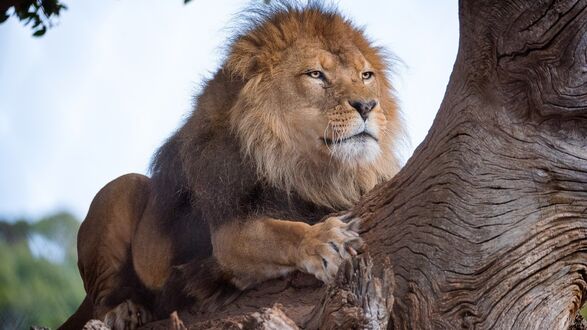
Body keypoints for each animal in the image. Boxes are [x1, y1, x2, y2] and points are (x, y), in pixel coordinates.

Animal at [59, 3, 402, 330]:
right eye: (316, 74)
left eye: (366, 76)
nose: (367, 105)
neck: (307, 169)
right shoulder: (227, 231)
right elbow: (282, 233)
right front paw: (323, 240)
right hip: (121, 188)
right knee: (100, 301)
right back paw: (123, 311)